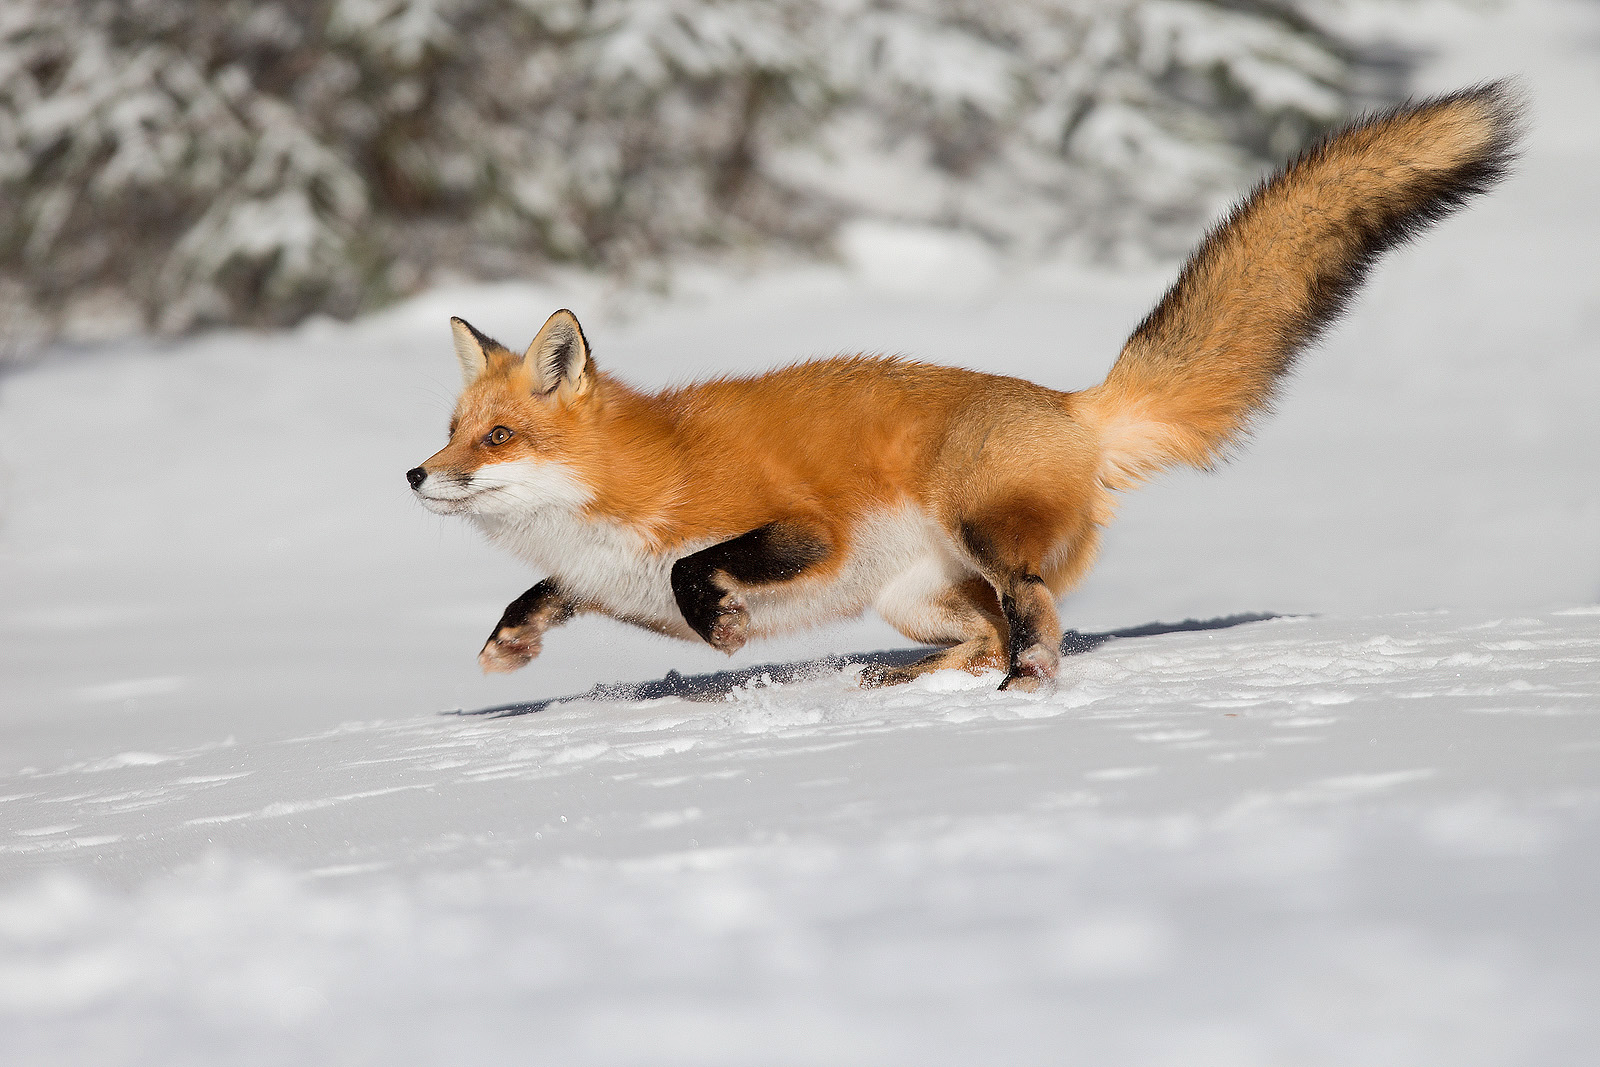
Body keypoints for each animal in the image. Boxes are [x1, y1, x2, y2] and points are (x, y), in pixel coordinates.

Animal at [408, 83, 1520, 693]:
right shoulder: (596, 577)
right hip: (913, 599)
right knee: (982, 632)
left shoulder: (803, 528)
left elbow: (697, 568)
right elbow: (537, 591)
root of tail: (1072, 404)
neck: (621, 486)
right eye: (454, 428)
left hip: (977, 534)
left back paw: (1024, 680)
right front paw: (508, 643)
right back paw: (908, 683)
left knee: (1032, 614)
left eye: (497, 437)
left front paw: (719, 627)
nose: (415, 476)